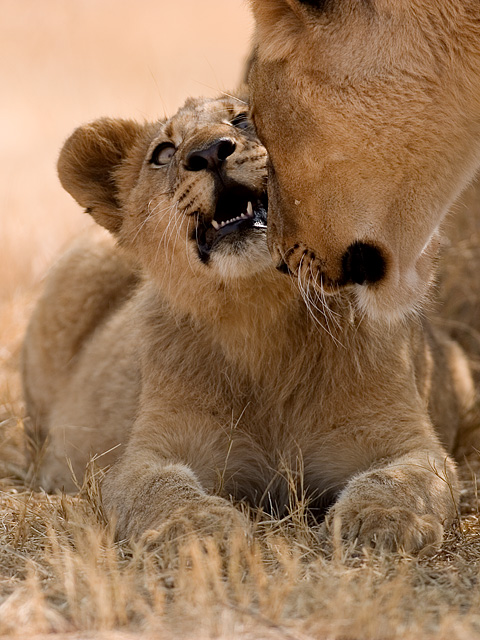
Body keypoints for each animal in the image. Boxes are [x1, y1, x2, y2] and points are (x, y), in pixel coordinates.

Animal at [22, 95, 478, 552]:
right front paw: (200, 527)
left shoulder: (409, 442)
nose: (208, 153)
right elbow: (160, 488)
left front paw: (379, 520)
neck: (260, 313)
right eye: (164, 153)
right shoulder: (145, 455)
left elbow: (400, 481)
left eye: (243, 119)